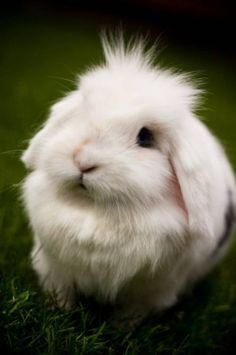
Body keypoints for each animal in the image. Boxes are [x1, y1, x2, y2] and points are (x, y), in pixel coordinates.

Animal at [21, 36, 235, 326]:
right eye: (82, 115)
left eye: (145, 137)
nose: (83, 161)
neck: (94, 212)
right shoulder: (54, 269)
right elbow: (61, 295)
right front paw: (59, 313)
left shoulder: (149, 290)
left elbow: (130, 314)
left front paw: (122, 329)